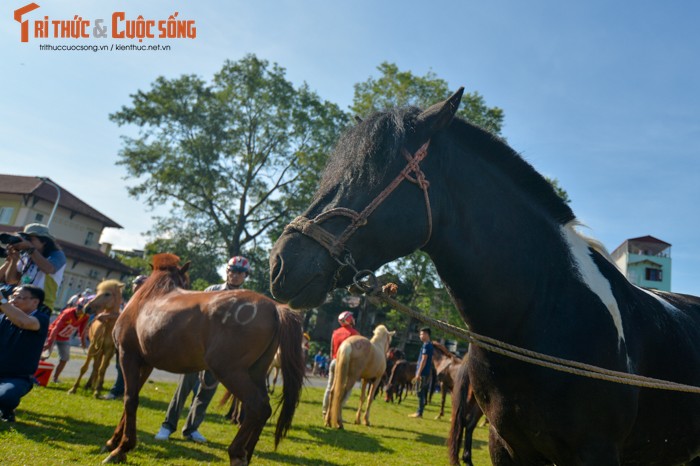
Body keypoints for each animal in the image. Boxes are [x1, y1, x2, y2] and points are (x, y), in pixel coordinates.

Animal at [101, 255, 304, 466]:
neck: (148, 298)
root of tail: (275, 308)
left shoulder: (127, 355)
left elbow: (130, 399)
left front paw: (121, 448)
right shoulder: (146, 363)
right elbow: (132, 398)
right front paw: (113, 441)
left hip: (229, 372)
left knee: (257, 406)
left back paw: (237, 453)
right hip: (256, 372)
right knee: (263, 408)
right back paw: (246, 453)